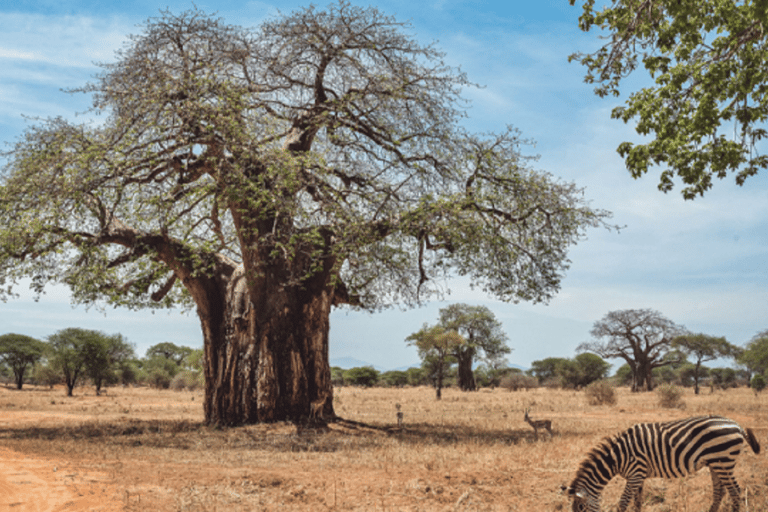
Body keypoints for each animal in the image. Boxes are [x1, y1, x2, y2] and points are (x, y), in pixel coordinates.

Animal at [568, 416, 760, 512]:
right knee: (720, 492)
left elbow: (622, 504)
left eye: (582, 508)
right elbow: (637, 503)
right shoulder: (638, 477)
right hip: (716, 463)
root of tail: (736, 425)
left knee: (735, 491)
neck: (617, 457)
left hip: (724, 462)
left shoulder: (635, 474)